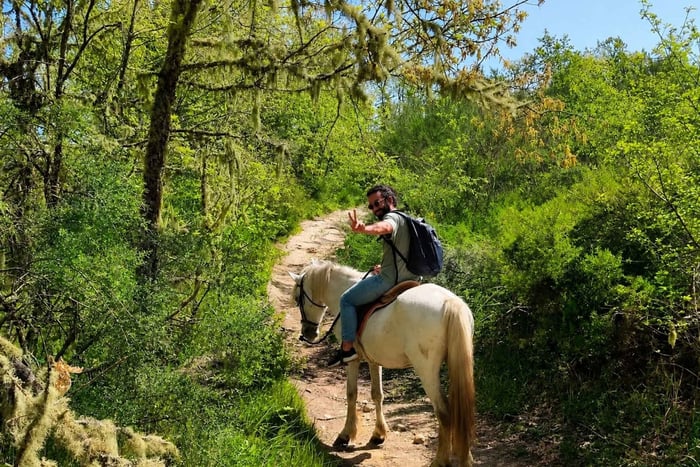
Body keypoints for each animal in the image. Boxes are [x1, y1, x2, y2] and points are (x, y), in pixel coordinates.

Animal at [289, 259, 475, 467]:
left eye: (298, 299)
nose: (308, 333)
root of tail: (450, 303)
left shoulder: (353, 359)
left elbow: (351, 394)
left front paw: (345, 436)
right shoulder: (373, 359)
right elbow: (377, 395)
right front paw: (378, 435)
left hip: (427, 371)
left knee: (444, 413)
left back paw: (440, 460)